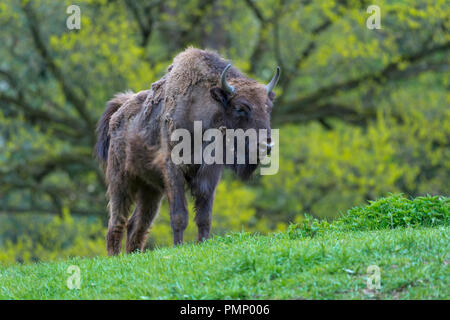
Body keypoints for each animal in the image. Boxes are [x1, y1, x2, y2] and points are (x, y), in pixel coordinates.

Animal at [95, 47, 280, 255]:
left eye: (268, 108)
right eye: (240, 108)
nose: (266, 145)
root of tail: (118, 112)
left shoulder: (210, 173)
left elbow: (204, 216)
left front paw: (203, 243)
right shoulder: (173, 169)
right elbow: (179, 216)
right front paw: (178, 246)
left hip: (150, 190)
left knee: (137, 225)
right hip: (121, 180)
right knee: (116, 222)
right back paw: (114, 256)